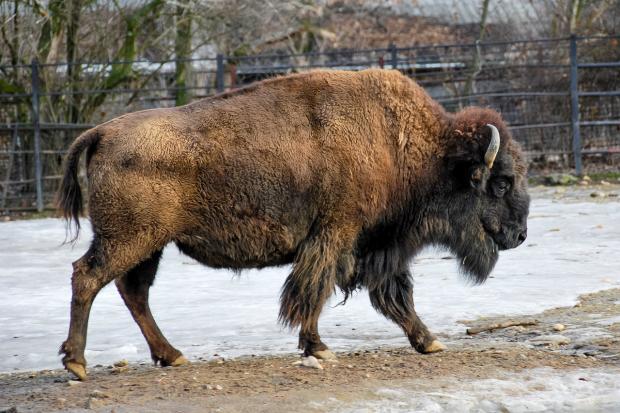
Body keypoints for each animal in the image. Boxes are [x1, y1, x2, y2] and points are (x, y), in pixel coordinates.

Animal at [58, 68, 532, 380]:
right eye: (502, 182)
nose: (520, 234)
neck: (404, 144)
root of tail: (100, 133)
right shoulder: (337, 234)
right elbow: (314, 290)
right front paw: (319, 348)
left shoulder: (376, 246)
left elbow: (393, 295)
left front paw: (428, 341)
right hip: (129, 240)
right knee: (89, 277)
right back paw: (78, 363)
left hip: (149, 245)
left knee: (133, 292)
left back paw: (171, 355)